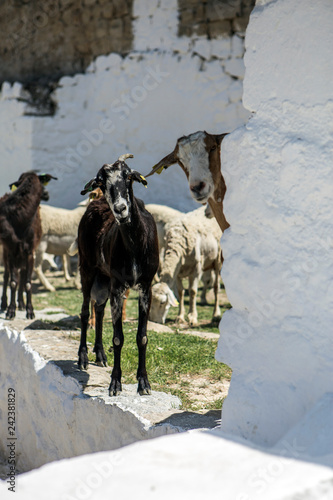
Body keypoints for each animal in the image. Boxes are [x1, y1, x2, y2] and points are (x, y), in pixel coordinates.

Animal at [0, 172, 56, 320]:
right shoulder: (11, 251)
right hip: (6, 252)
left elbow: (28, 283)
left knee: (23, 274)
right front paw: (10, 310)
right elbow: (13, 281)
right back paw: (4, 304)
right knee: (7, 275)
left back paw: (21, 303)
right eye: (42, 183)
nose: (47, 194)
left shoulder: (30, 252)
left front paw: (30, 311)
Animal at [77, 154, 159, 396]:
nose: (121, 209)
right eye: (102, 182)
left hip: (104, 279)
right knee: (85, 311)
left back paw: (100, 354)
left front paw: (144, 383)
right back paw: (83, 357)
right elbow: (117, 338)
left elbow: (142, 337)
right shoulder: (118, 286)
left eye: (129, 176)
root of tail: (95, 203)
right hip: (87, 268)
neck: (135, 245)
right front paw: (115, 383)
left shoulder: (145, 287)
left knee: (99, 308)